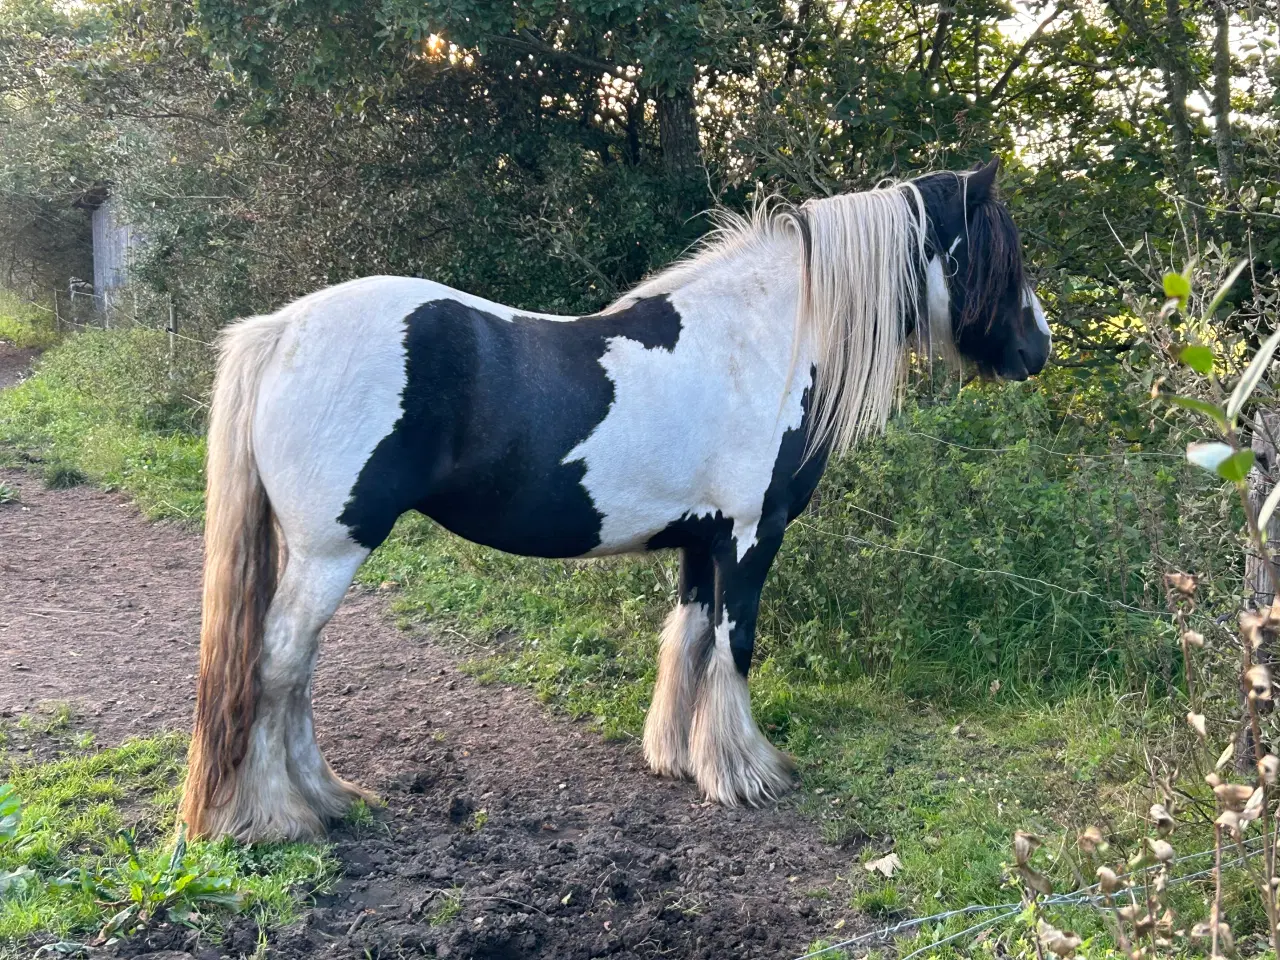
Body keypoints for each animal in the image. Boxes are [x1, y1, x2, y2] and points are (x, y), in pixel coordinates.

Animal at [183, 158, 1049, 839]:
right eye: (1000, 256)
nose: (1037, 349)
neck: (761, 340)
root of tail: (280, 330)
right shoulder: (750, 535)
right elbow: (735, 645)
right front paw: (746, 772)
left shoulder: (703, 540)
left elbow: (689, 641)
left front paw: (680, 758)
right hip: (332, 547)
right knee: (279, 662)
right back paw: (282, 815)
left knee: (297, 668)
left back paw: (328, 798)